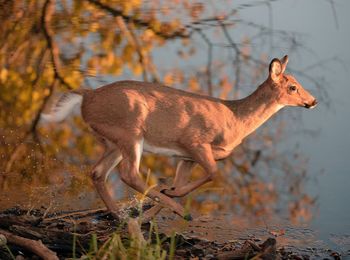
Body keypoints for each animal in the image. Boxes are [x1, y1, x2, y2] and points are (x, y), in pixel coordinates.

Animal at [41, 55, 318, 221]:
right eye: (292, 87)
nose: (313, 101)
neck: (235, 119)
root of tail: (87, 96)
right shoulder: (195, 142)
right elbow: (213, 173)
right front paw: (172, 205)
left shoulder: (187, 157)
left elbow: (181, 185)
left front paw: (162, 202)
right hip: (131, 132)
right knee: (128, 174)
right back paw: (173, 213)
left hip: (112, 141)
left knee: (98, 172)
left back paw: (121, 216)